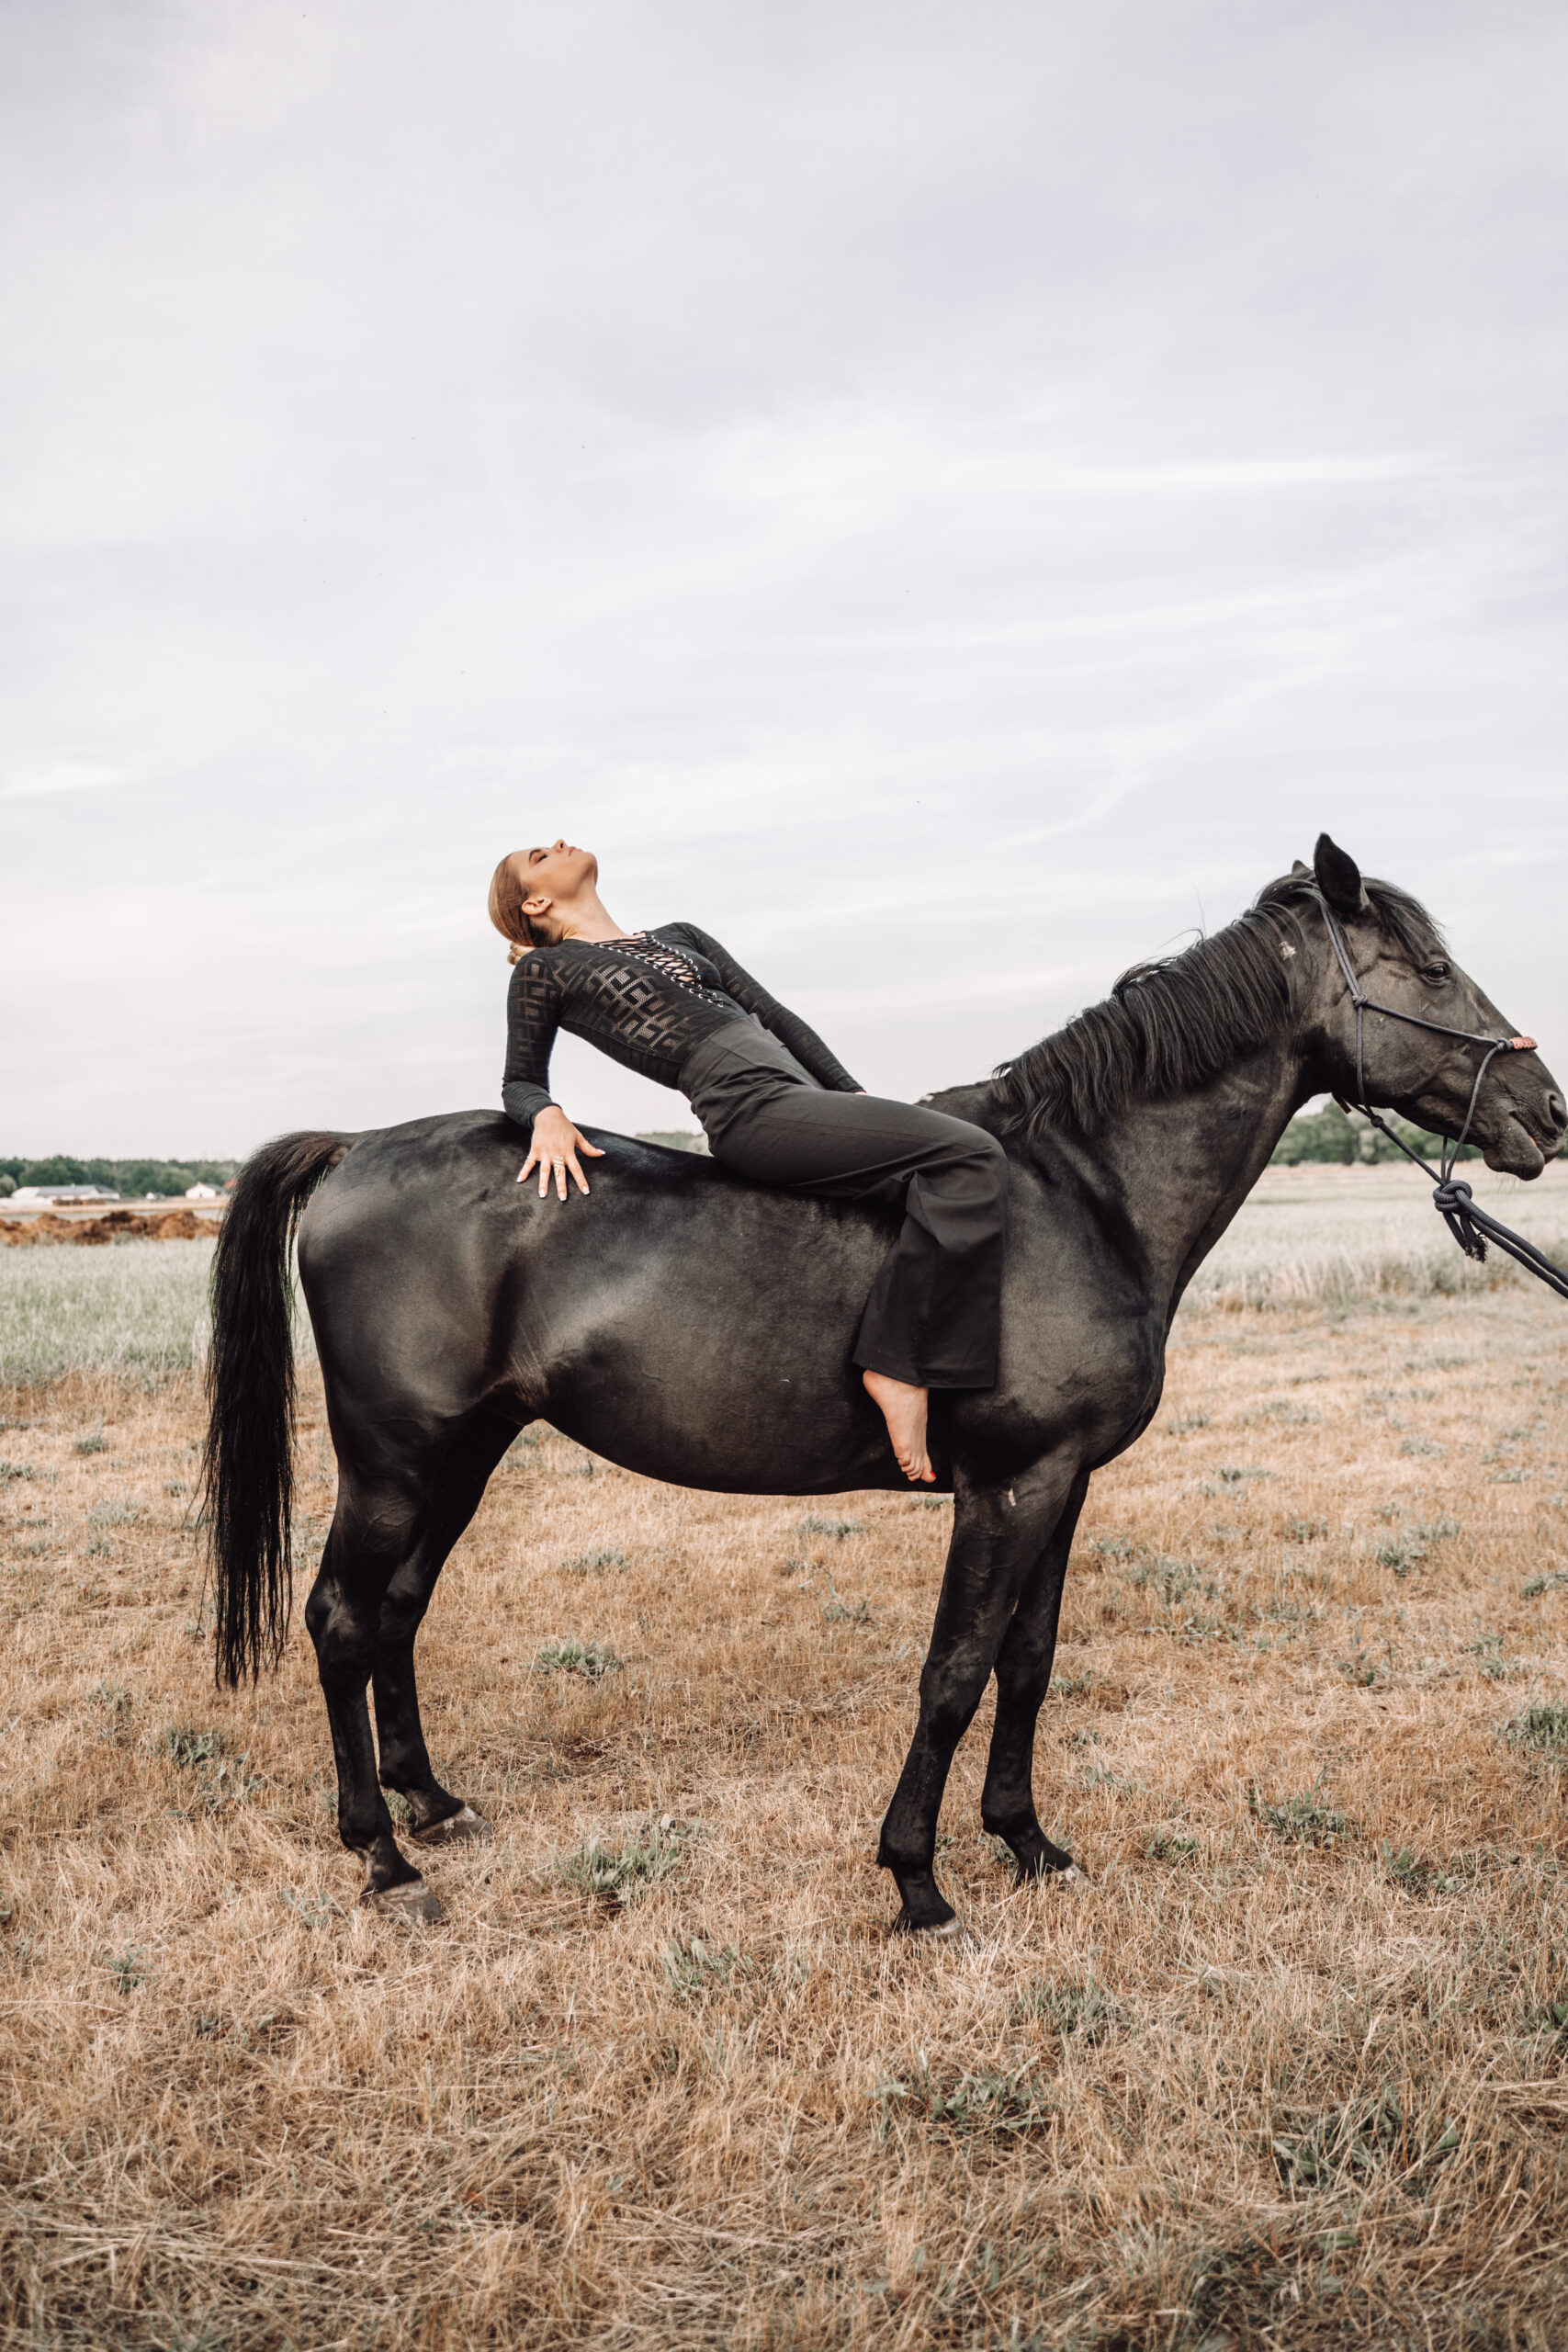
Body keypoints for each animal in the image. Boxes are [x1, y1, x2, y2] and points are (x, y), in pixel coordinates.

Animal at [202, 835, 1564, 1933]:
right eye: (1427, 971)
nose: (1546, 1111)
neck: (1081, 1194)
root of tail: (354, 1150)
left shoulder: (1060, 1484)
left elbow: (1028, 1660)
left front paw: (1029, 1844)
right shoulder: (1009, 1486)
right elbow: (953, 1671)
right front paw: (916, 1879)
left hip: (464, 1452)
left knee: (398, 1611)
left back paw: (432, 1805)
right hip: (395, 1458)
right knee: (341, 1618)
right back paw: (383, 1858)